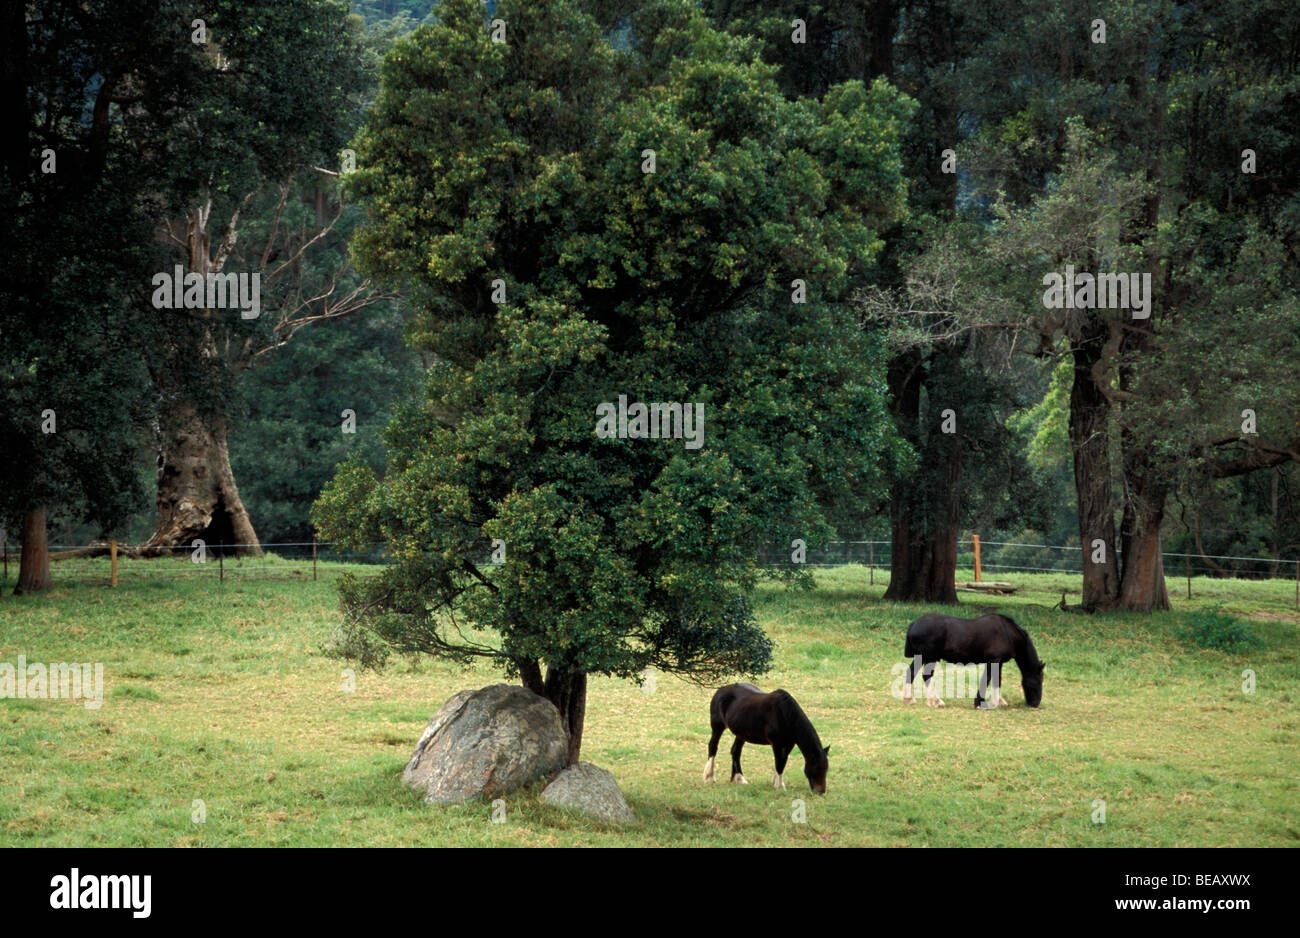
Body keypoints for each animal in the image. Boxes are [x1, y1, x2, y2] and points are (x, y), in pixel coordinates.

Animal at [902, 612, 1044, 709]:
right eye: (1038, 681)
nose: (1035, 704)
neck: (1007, 633)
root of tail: (914, 624)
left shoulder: (999, 663)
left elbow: (997, 680)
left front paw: (999, 701)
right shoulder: (992, 661)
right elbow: (987, 680)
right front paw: (979, 703)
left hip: (921, 658)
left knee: (911, 673)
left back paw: (909, 699)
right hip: (929, 658)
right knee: (926, 676)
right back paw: (936, 702)